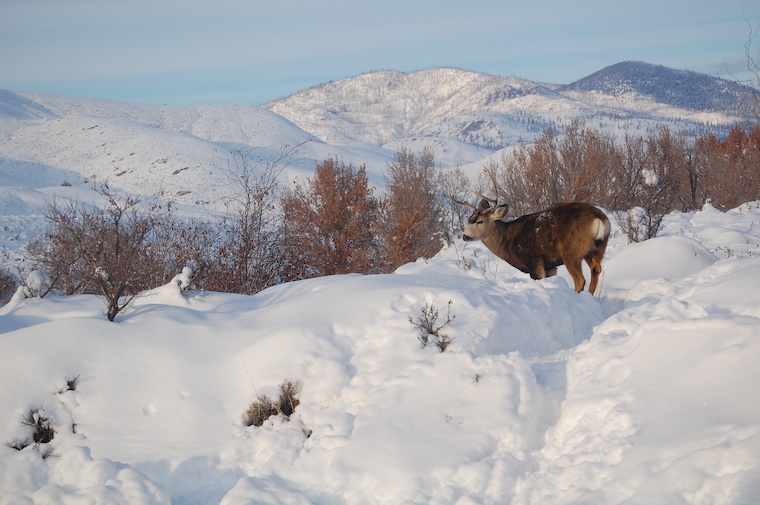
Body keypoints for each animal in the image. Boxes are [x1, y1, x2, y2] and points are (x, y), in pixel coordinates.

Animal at [455, 184, 611, 295]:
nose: (465, 236)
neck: (507, 241)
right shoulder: (550, 265)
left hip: (572, 251)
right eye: (469, 219)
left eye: (480, 221)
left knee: (580, 280)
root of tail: (599, 220)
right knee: (595, 272)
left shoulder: (533, 260)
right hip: (596, 250)